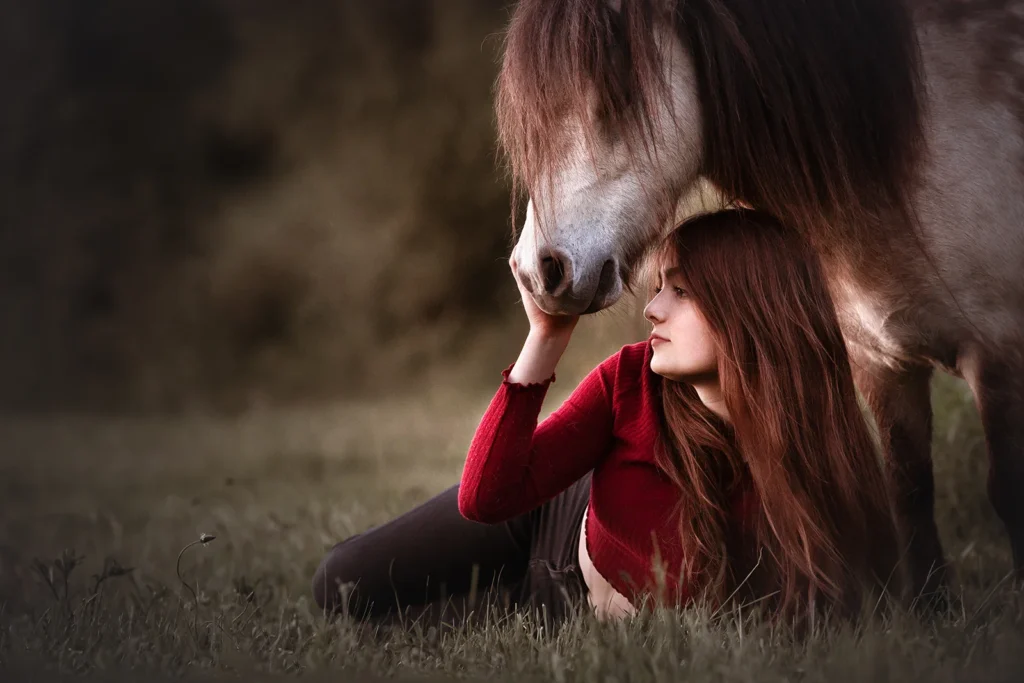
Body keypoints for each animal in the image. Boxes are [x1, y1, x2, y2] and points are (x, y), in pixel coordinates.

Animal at [495, 0, 1024, 602]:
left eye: (616, 96)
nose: (537, 272)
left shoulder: (999, 352)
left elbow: (1007, 491)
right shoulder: (883, 361)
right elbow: (910, 488)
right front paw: (931, 606)